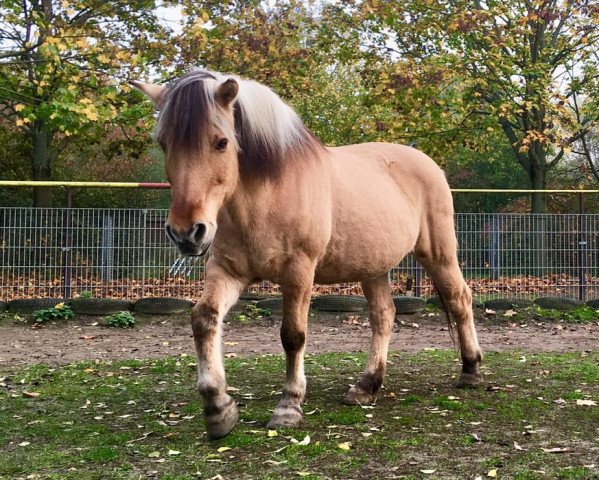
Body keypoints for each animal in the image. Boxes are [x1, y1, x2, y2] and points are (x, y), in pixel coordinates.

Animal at [131, 69, 482, 440]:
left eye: (221, 142)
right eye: (164, 143)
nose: (186, 233)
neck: (267, 194)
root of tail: (428, 164)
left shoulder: (299, 271)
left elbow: (292, 335)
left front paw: (289, 406)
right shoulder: (227, 270)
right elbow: (204, 318)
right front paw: (218, 408)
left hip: (439, 254)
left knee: (459, 300)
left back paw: (471, 370)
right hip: (373, 269)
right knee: (384, 316)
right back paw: (366, 385)